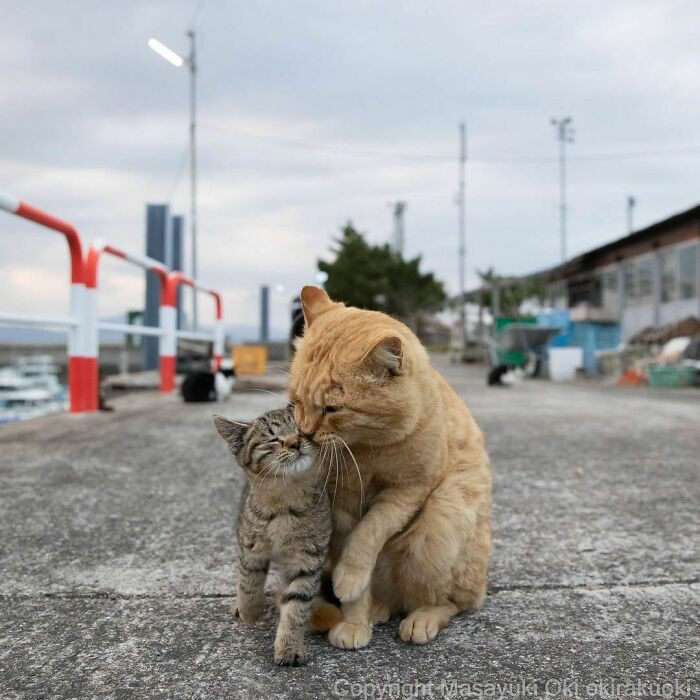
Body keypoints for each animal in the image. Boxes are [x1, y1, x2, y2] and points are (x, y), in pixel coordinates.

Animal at [213, 408, 334, 664]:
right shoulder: (250, 547)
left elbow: (297, 605)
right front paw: (250, 613)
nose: (295, 442)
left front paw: (289, 646)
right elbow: (248, 582)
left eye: (301, 429)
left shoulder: (308, 558)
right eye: (273, 438)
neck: (285, 503)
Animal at [288, 288, 490, 648]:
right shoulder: (340, 505)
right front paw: (355, 620)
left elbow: (368, 534)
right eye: (296, 400)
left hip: (444, 518)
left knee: (452, 602)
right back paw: (377, 610)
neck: (366, 449)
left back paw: (421, 619)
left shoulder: (407, 493)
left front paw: (350, 580)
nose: (306, 433)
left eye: (332, 408)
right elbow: (354, 559)